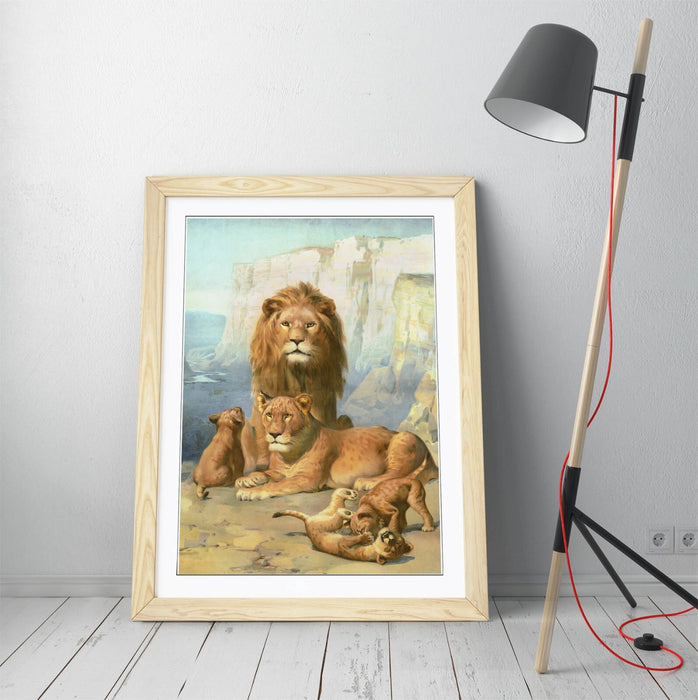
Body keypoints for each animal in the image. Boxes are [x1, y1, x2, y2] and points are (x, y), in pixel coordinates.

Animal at [235, 393, 438, 500]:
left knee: (396, 473)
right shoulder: (280, 470)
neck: (290, 454)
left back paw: (366, 481)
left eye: (287, 416)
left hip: (402, 438)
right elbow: (268, 474)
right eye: (269, 415)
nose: (274, 434)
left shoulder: (308, 479)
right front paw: (247, 479)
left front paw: (250, 492)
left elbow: (277, 485)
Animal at [241, 282, 350, 470]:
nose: (297, 340)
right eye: (285, 324)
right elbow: (263, 438)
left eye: (310, 325)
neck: (297, 372)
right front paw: (264, 464)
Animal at [273, 488, 413, 564]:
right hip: (327, 517)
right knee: (337, 503)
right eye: (397, 541)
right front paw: (366, 536)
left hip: (328, 521)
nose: (387, 534)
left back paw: (349, 511)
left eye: (391, 548)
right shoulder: (343, 544)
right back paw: (350, 502)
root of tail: (308, 520)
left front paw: (367, 535)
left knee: (338, 513)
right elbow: (351, 538)